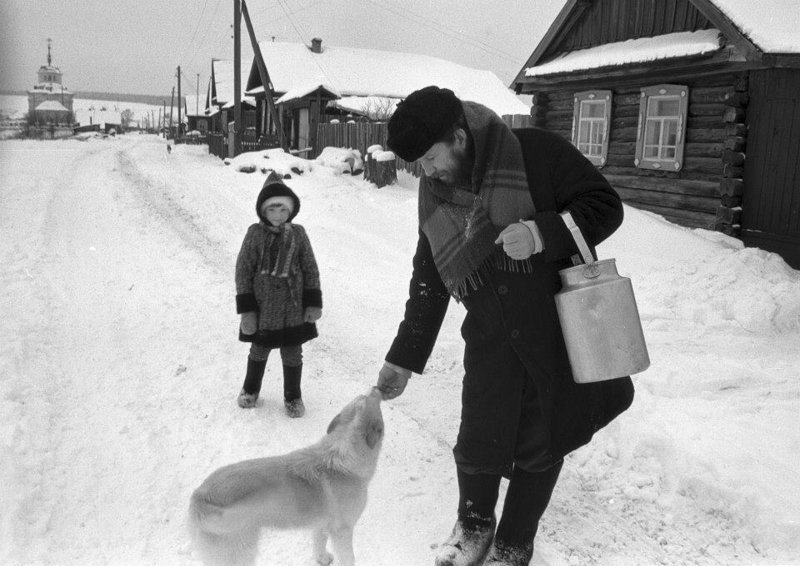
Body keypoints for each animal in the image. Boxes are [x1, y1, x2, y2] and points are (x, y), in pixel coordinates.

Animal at [191, 390, 384, 566]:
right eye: (372, 399)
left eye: (364, 395)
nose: (377, 388)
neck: (341, 458)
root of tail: (198, 497)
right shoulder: (342, 531)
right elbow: (349, 558)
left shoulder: (321, 524)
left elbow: (319, 543)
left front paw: (322, 559)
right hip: (242, 552)